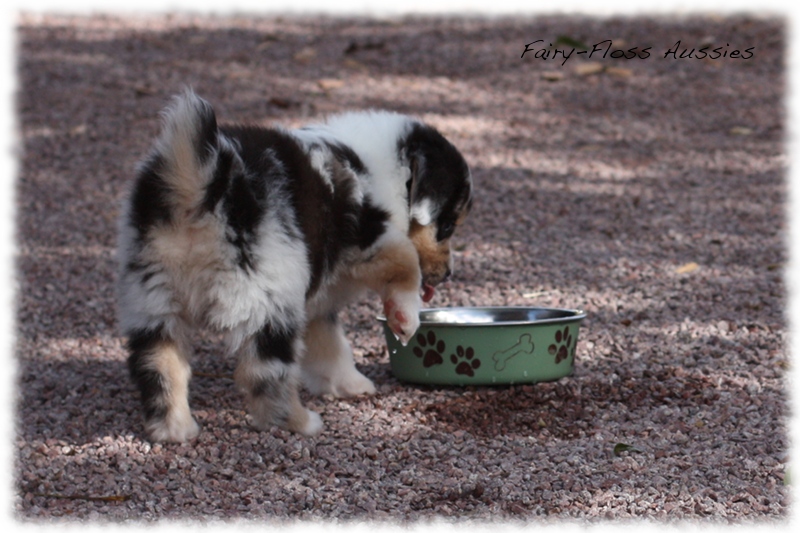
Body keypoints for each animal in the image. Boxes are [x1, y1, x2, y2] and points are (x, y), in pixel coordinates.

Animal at [115, 90, 472, 440]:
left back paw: (175, 430)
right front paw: (405, 320)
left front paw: (351, 384)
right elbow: (407, 263)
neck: (388, 170)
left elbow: (331, 344)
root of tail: (200, 186)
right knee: (262, 371)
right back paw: (300, 423)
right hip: (270, 291)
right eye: (447, 225)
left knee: (159, 364)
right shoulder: (371, 237)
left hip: (155, 296)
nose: (449, 274)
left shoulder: (317, 300)